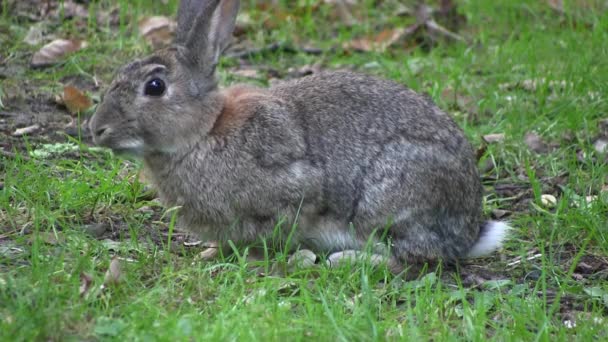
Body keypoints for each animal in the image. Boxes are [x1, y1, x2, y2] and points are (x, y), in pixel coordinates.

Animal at [89, 0, 508, 272]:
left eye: (155, 87)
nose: (96, 129)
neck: (202, 133)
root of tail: (468, 230)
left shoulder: (290, 189)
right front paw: (212, 254)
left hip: (390, 200)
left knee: (414, 258)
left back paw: (348, 260)